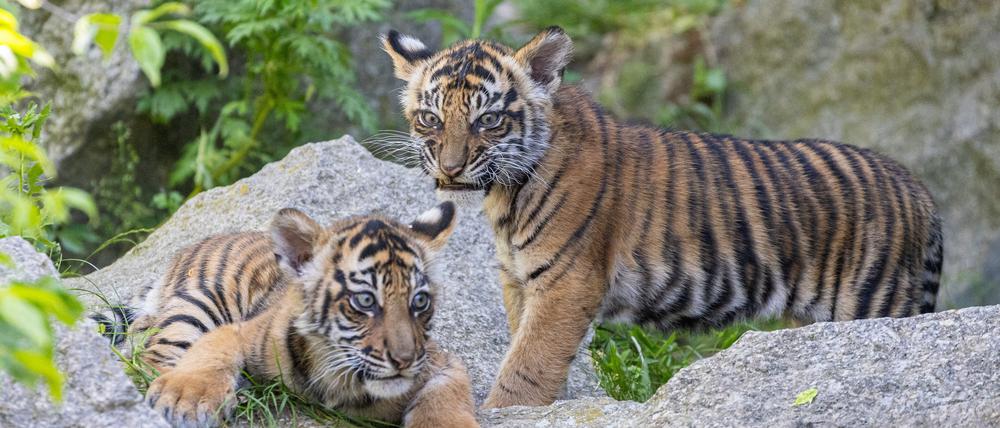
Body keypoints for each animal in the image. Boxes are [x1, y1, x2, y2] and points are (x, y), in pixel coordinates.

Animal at [100, 202, 478, 427]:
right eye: (366, 301)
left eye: (420, 302)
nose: (404, 360)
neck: (345, 379)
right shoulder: (244, 331)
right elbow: (210, 351)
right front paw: (185, 400)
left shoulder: (440, 361)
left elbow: (446, 398)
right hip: (200, 300)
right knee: (147, 357)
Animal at [380, 27, 944, 408]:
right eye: (430, 118)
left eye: (489, 120)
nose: (450, 168)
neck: (507, 193)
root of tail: (919, 189)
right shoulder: (519, 280)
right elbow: (524, 346)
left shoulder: (565, 283)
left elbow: (529, 362)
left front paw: (506, 409)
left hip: (871, 304)